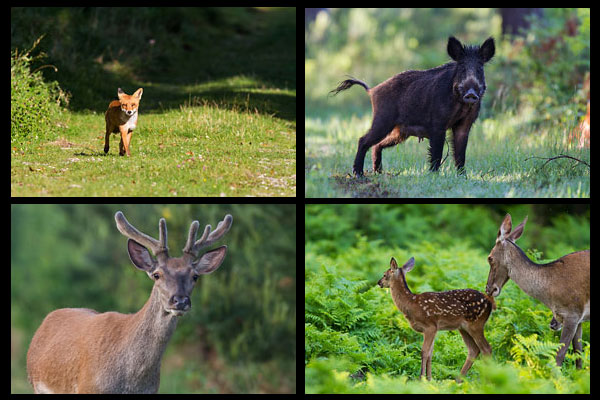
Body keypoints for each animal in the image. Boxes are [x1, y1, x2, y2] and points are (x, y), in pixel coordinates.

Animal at [486, 216, 588, 368]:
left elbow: (559, 356)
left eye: (490, 258)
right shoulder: (578, 318)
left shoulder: (572, 314)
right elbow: (578, 357)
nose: (489, 288)